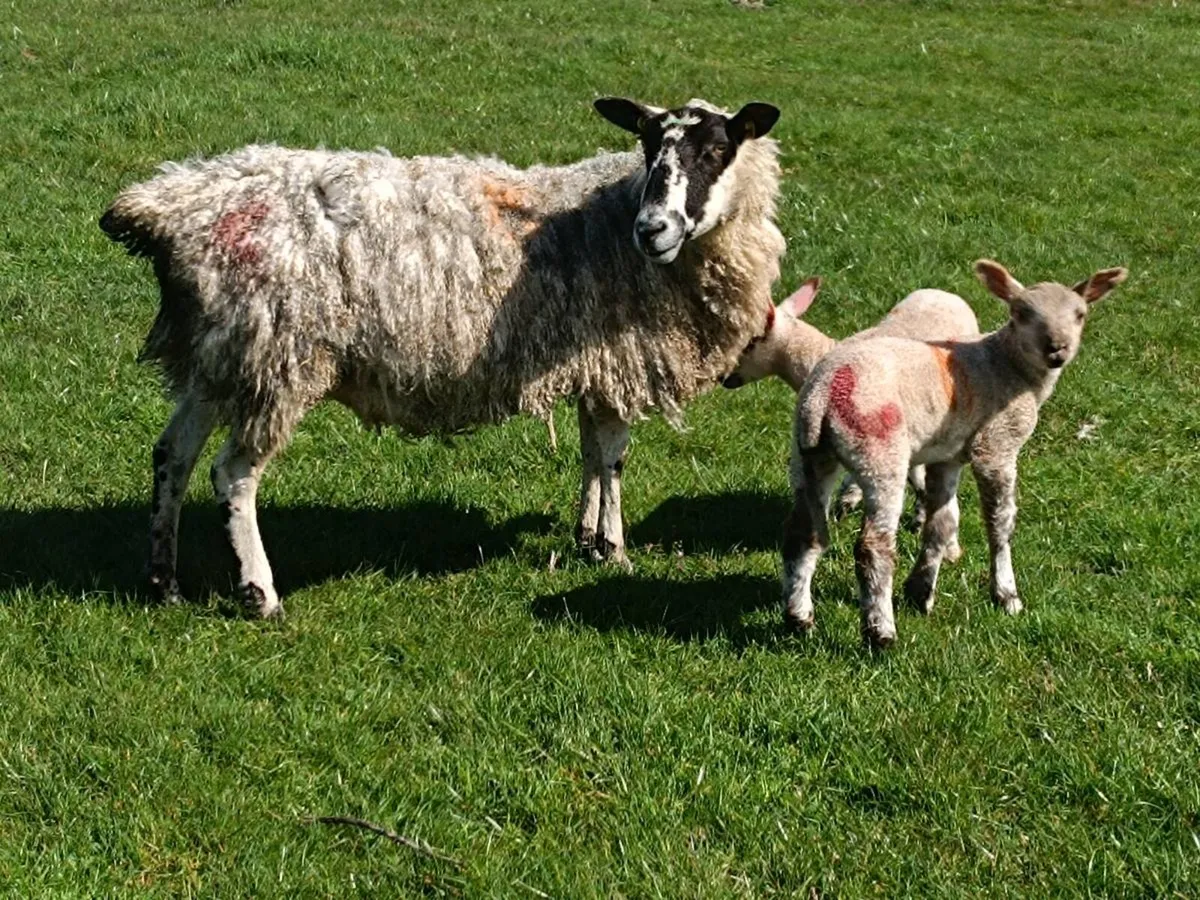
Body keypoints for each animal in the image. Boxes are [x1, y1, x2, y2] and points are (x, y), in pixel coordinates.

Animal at [100, 97, 787, 617]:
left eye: (714, 150)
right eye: (649, 148)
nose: (653, 229)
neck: (608, 214)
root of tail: (169, 210)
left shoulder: (595, 362)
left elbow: (593, 454)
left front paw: (587, 538)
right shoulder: (622, 359)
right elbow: (614, 456)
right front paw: (614, 550)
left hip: (220, 354)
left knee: (172, 455)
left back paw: (163, 581)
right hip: (277, 359)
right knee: (233, 474)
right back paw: (259, 594)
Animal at [782, 259, 1126, 648]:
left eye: (1080, 314)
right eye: (1022, 312)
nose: (1057, 348)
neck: (1008, 366)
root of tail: (823, 393)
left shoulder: (946, 456)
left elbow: (941, 523)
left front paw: (920, 592)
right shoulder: (996, 445)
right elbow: (1001, 523)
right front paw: (1006, 594)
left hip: (808, 453)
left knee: (803, 533)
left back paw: (799, 618)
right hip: (878, 449)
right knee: (873, 546)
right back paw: (880, 632)